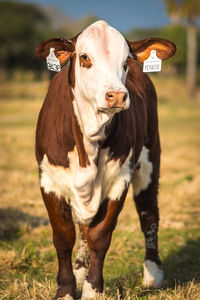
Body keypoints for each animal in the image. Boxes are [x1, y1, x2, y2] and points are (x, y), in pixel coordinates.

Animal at [35, 19, 175, 298]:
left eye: (126, 61)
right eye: (85, 57)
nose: (117, 95)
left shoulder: (119, 179)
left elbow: (100, 235)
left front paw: (92, 289)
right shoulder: (49, 179)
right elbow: (64, 236)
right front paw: (66, 289)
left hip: (151, 156)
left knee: (148, 213)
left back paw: (153, 273)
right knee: (82, 226)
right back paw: (80, 268)